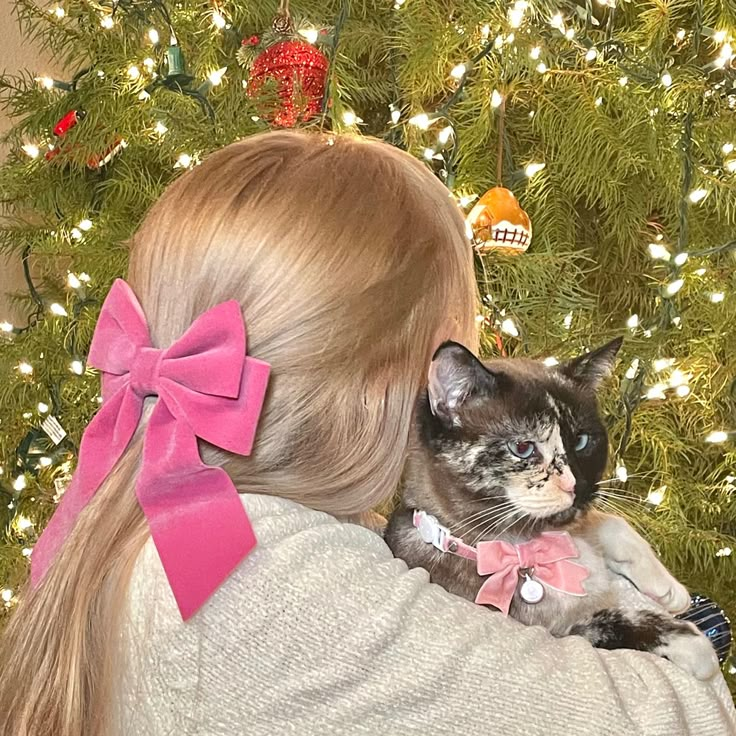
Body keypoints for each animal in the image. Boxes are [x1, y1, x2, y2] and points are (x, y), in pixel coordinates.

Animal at [386, 340, 720, 680]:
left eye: (583, 441)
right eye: (523, 448)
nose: (578, 486)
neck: (533, 548)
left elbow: (609, 522)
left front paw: (669, 589)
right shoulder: (566, 632)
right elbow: (612, 621)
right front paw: (695, 646)